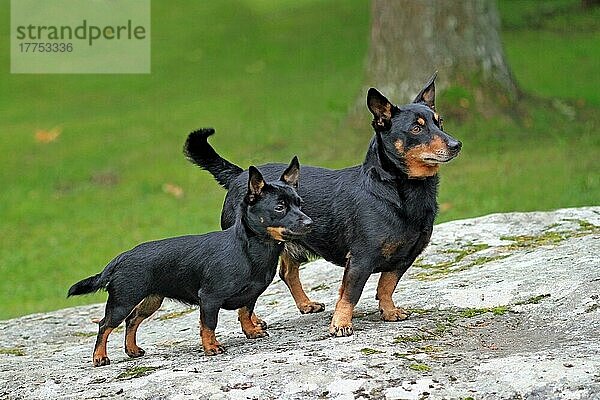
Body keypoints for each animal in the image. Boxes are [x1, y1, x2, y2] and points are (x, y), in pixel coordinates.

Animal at [68, 155, 312, 366]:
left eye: (300, 204)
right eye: (280, 207)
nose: (309, 222)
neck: (250, 249)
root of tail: (120, 258)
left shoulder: (251, 294)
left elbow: (245, 312)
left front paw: (250, 331)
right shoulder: (210, 299)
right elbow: (209, 325)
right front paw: (211, 347)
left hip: (151, 301)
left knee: (132, 320)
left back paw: (132, 350)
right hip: (123, 301)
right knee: (105, 325)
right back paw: (100, 357)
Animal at [185, 73, 462, 336]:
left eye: (440, 122)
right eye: (416, 129)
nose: (456, 144)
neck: (397, 191)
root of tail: (239, 175)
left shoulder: (405, 258)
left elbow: (386, 285)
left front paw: (389, 311)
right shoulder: (361, 259)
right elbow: (350, 294)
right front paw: (341, 324)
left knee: (288, 273)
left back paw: (304, 304)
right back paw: (253, 321)